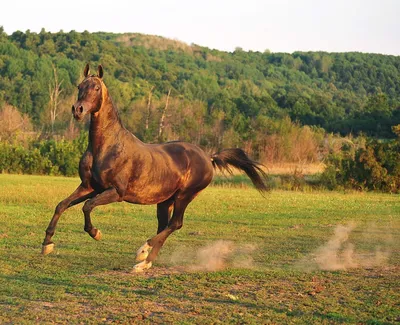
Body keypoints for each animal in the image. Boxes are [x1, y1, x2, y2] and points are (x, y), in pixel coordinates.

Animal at [41, 63, 268, 270]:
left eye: (96, 87)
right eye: (79, 85)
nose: (77, 110)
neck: (107, 147)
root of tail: (207, 157)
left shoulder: (116, 192)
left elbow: (87, 206)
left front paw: (96, 233)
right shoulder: (89, 187)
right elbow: (62, 205)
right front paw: (47, 244)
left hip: (184, 196)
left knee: (175, 224)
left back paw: (143, 252)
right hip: (165, 201)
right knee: (164, 225)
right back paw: (145, 262)